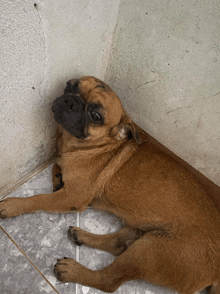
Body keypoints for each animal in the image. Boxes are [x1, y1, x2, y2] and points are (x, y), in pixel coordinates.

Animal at [0, 77, 220, 292]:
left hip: (150, 251)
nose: (71, 101)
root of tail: (216, 273)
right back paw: (82, 236)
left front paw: (13, 205)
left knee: (109, 281)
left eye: (96, 116)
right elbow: (57, 163)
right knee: (118, 244)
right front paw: (59, 177)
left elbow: (39, 199)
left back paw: (73, 270)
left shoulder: (72, 197)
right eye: (70, 86)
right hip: (142, 234)